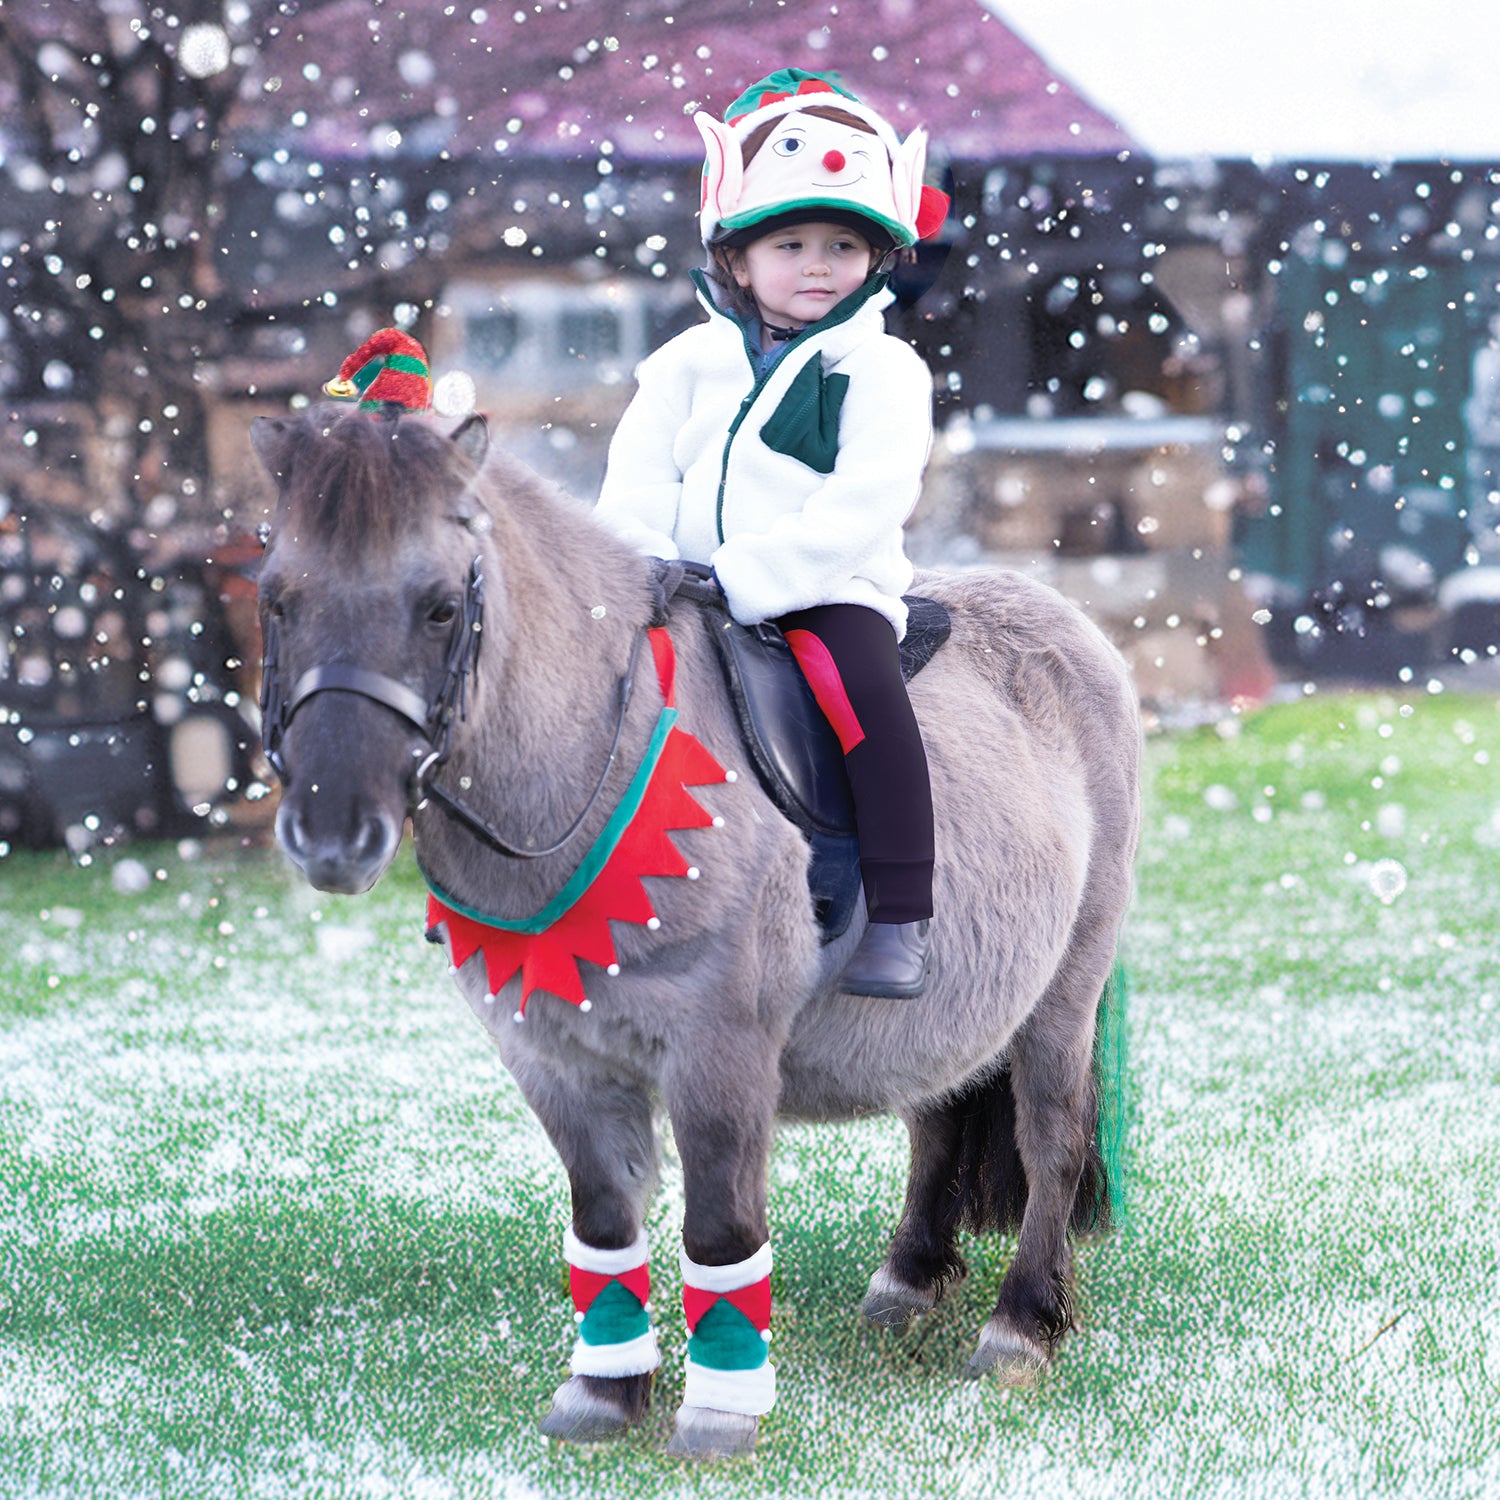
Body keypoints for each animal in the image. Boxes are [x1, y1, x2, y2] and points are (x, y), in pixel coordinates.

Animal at [249, 403, 1141, 1458]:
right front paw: (602, 1397)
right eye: (276, 600)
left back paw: (1022, 1324)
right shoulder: (554, 1059)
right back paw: (910, 1278)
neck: (604, 767)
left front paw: (719, 1414)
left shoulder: (721, 1055)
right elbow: (603, 1223)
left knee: (1050, 1140)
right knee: (937, 1116)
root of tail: (1070, 624)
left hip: (1064, 991)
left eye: (436, 606)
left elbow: (720, 1233)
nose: (331, 832)